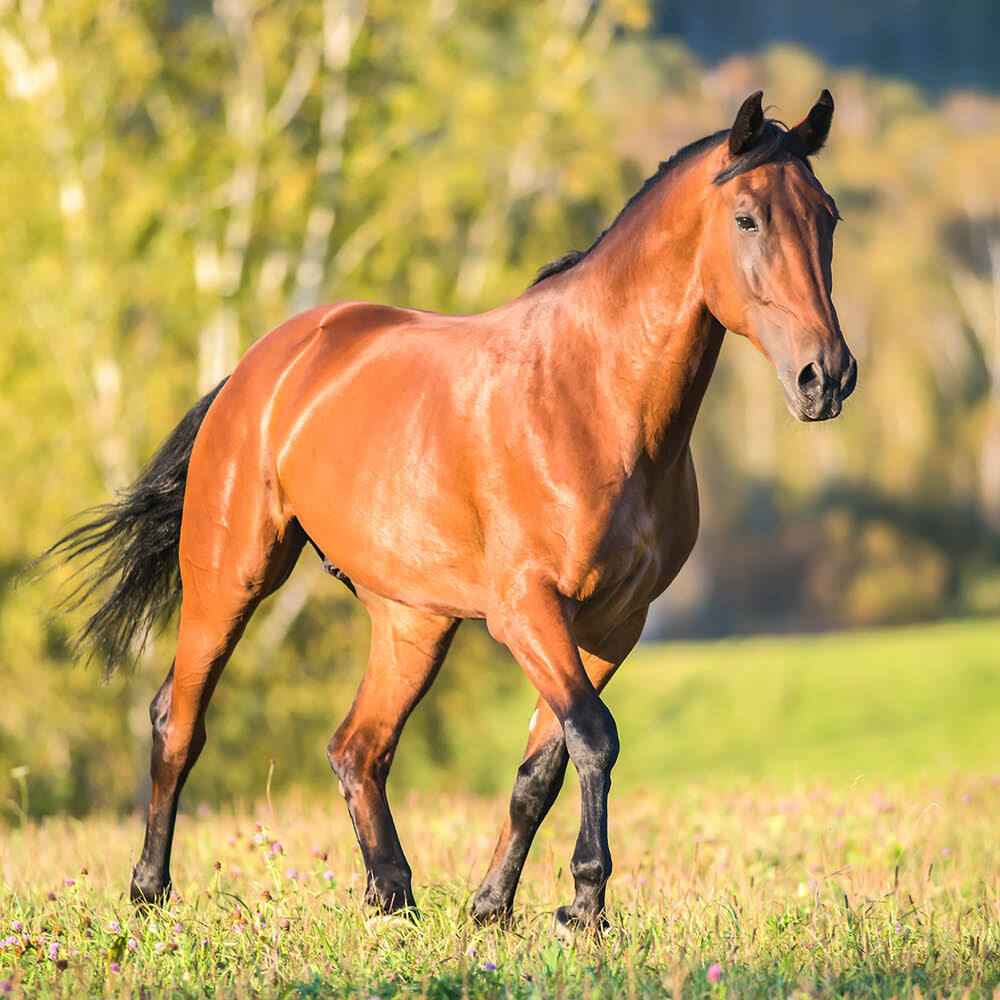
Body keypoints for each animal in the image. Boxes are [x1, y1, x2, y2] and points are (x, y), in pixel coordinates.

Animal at [41, 89, 856, 930]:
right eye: (748, 219)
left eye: (827, 217)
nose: (824, 377)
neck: (595, 401)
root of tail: (258, 367)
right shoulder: (527, 610)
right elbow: (594, 739)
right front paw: (586, 904)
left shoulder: (611, 626)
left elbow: (543, 768)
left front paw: (494, 907)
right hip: (230, 577)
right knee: (180, 720)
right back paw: (149, 891)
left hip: (413, 621)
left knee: (358, 747)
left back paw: (391, 895)